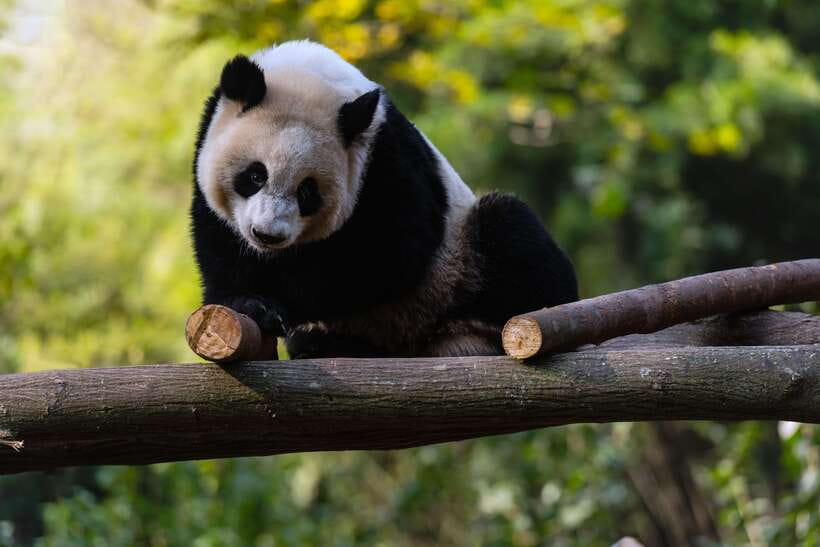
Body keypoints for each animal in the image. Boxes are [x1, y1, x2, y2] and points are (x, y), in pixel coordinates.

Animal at [191, 40, 578, 358]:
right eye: (256, 175)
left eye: (307, 192)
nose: (267, 235)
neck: (306, 74)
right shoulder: (209, 133)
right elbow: (218, 239)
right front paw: (252, 304)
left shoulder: (383, 157)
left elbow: (391, 252)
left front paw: (284, 300)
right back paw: (323, 343)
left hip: (459, 265)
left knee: (511, 230)